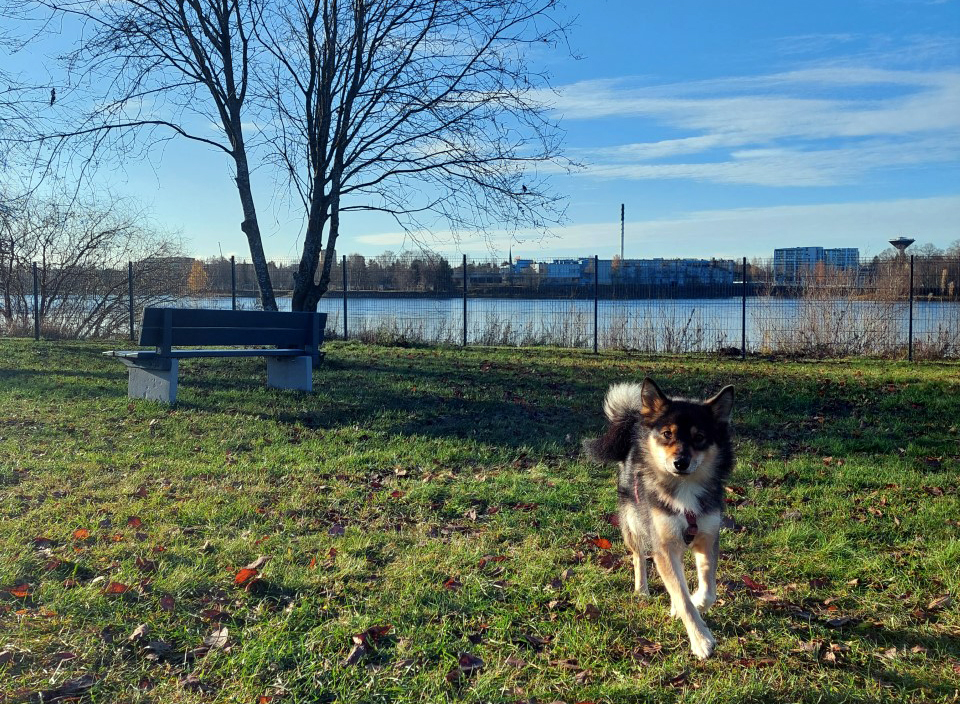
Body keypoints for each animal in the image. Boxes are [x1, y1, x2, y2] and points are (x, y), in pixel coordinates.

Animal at [584, 376, 736, 656]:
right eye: (667, 434)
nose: (680, 463)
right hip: (633, 525)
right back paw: (641, 589)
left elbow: (707, 592)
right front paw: (700, 639)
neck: (684, 488)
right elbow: (681, 595)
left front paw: (693, 603)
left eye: (699, 437)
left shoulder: (708, 537)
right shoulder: (663, 545)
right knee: (638, 558)